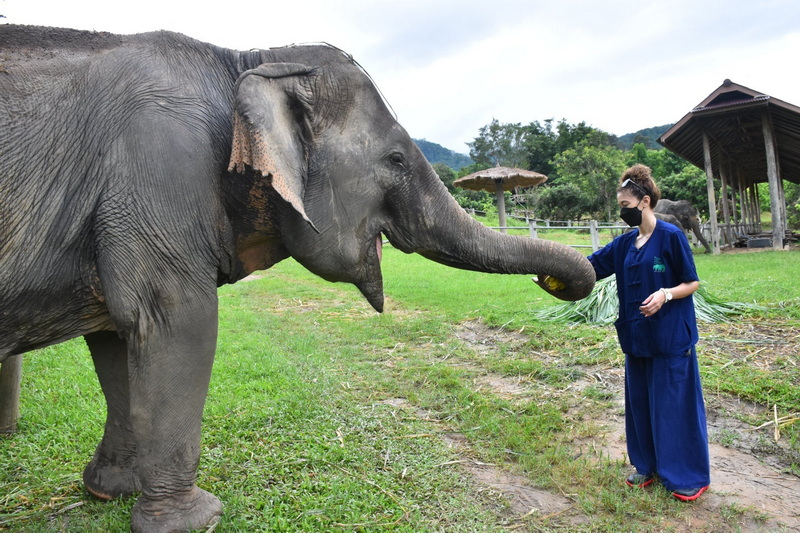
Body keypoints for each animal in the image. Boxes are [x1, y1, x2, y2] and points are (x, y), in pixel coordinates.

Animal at [0, 26, 592, 532]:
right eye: (396, 159)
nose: (553, 282)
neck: (244, 59)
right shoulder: (159, 174)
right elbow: (174, 318)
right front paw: (198, 519)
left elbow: (114, 335)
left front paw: (110, 491)